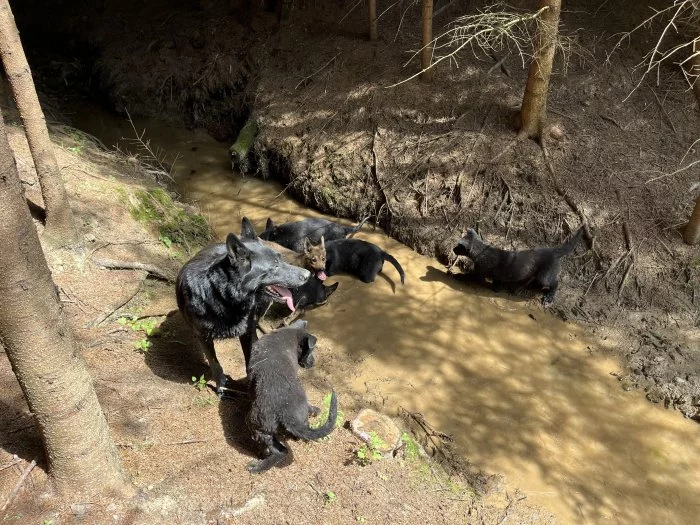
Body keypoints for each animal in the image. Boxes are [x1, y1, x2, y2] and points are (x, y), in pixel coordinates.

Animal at [245, 320, 338, 474]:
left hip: (257, 425)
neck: (289, 334)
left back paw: (258, 467)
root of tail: (286, 412)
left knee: (281, 451)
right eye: (310, 351)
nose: (313, 362)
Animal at [452, 225, 584, 302]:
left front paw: (455, 274)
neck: (482, 252)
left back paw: (549, 297)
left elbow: (468, 275)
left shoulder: (479, 272)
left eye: (458, 246)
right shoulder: (495, 277)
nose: (453, 249)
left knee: (555, 283)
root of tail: (553, 251)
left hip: (544, 277)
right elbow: (497, 284)